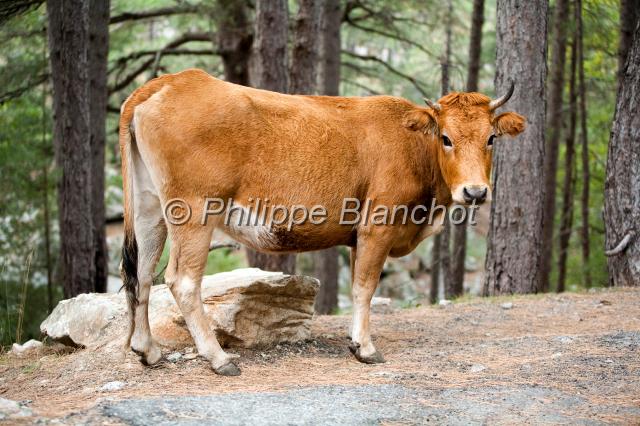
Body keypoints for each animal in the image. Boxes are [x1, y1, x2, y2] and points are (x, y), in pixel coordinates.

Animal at [119, 68, 525, 376]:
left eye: (491, 138)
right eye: (445, 138)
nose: (475, 191)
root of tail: (172, 81)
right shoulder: (378, 225)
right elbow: (364, 287)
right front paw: (365, 348)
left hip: (150, 208)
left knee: (141, 273)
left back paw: (147, 350)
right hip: (195, 210)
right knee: (182, 280)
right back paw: (218, 358)